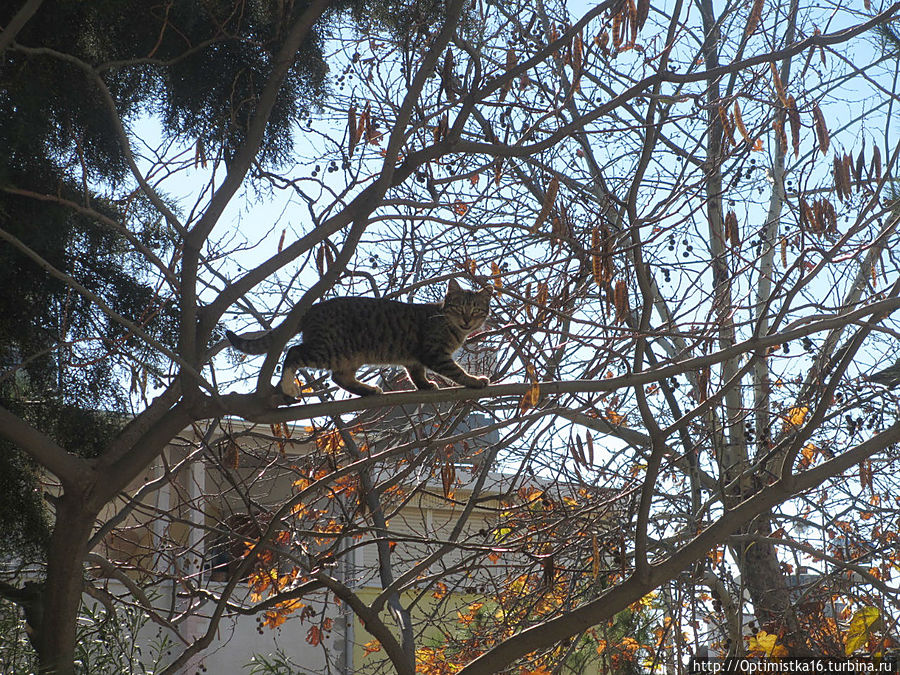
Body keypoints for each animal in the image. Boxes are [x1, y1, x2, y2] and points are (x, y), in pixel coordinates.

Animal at [225, 278, 492, 398]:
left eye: (476, 310)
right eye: (459, 308)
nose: (467, 321)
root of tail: (313, 308)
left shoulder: (415, 358)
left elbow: (416, 373)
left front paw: (425, 385)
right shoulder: (435, 352)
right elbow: (455, 371)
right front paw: (473, 380)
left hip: (349, 356)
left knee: (339, 377)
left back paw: (367, 389)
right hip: (328, 348)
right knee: (294, 353)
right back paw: (289, 385)